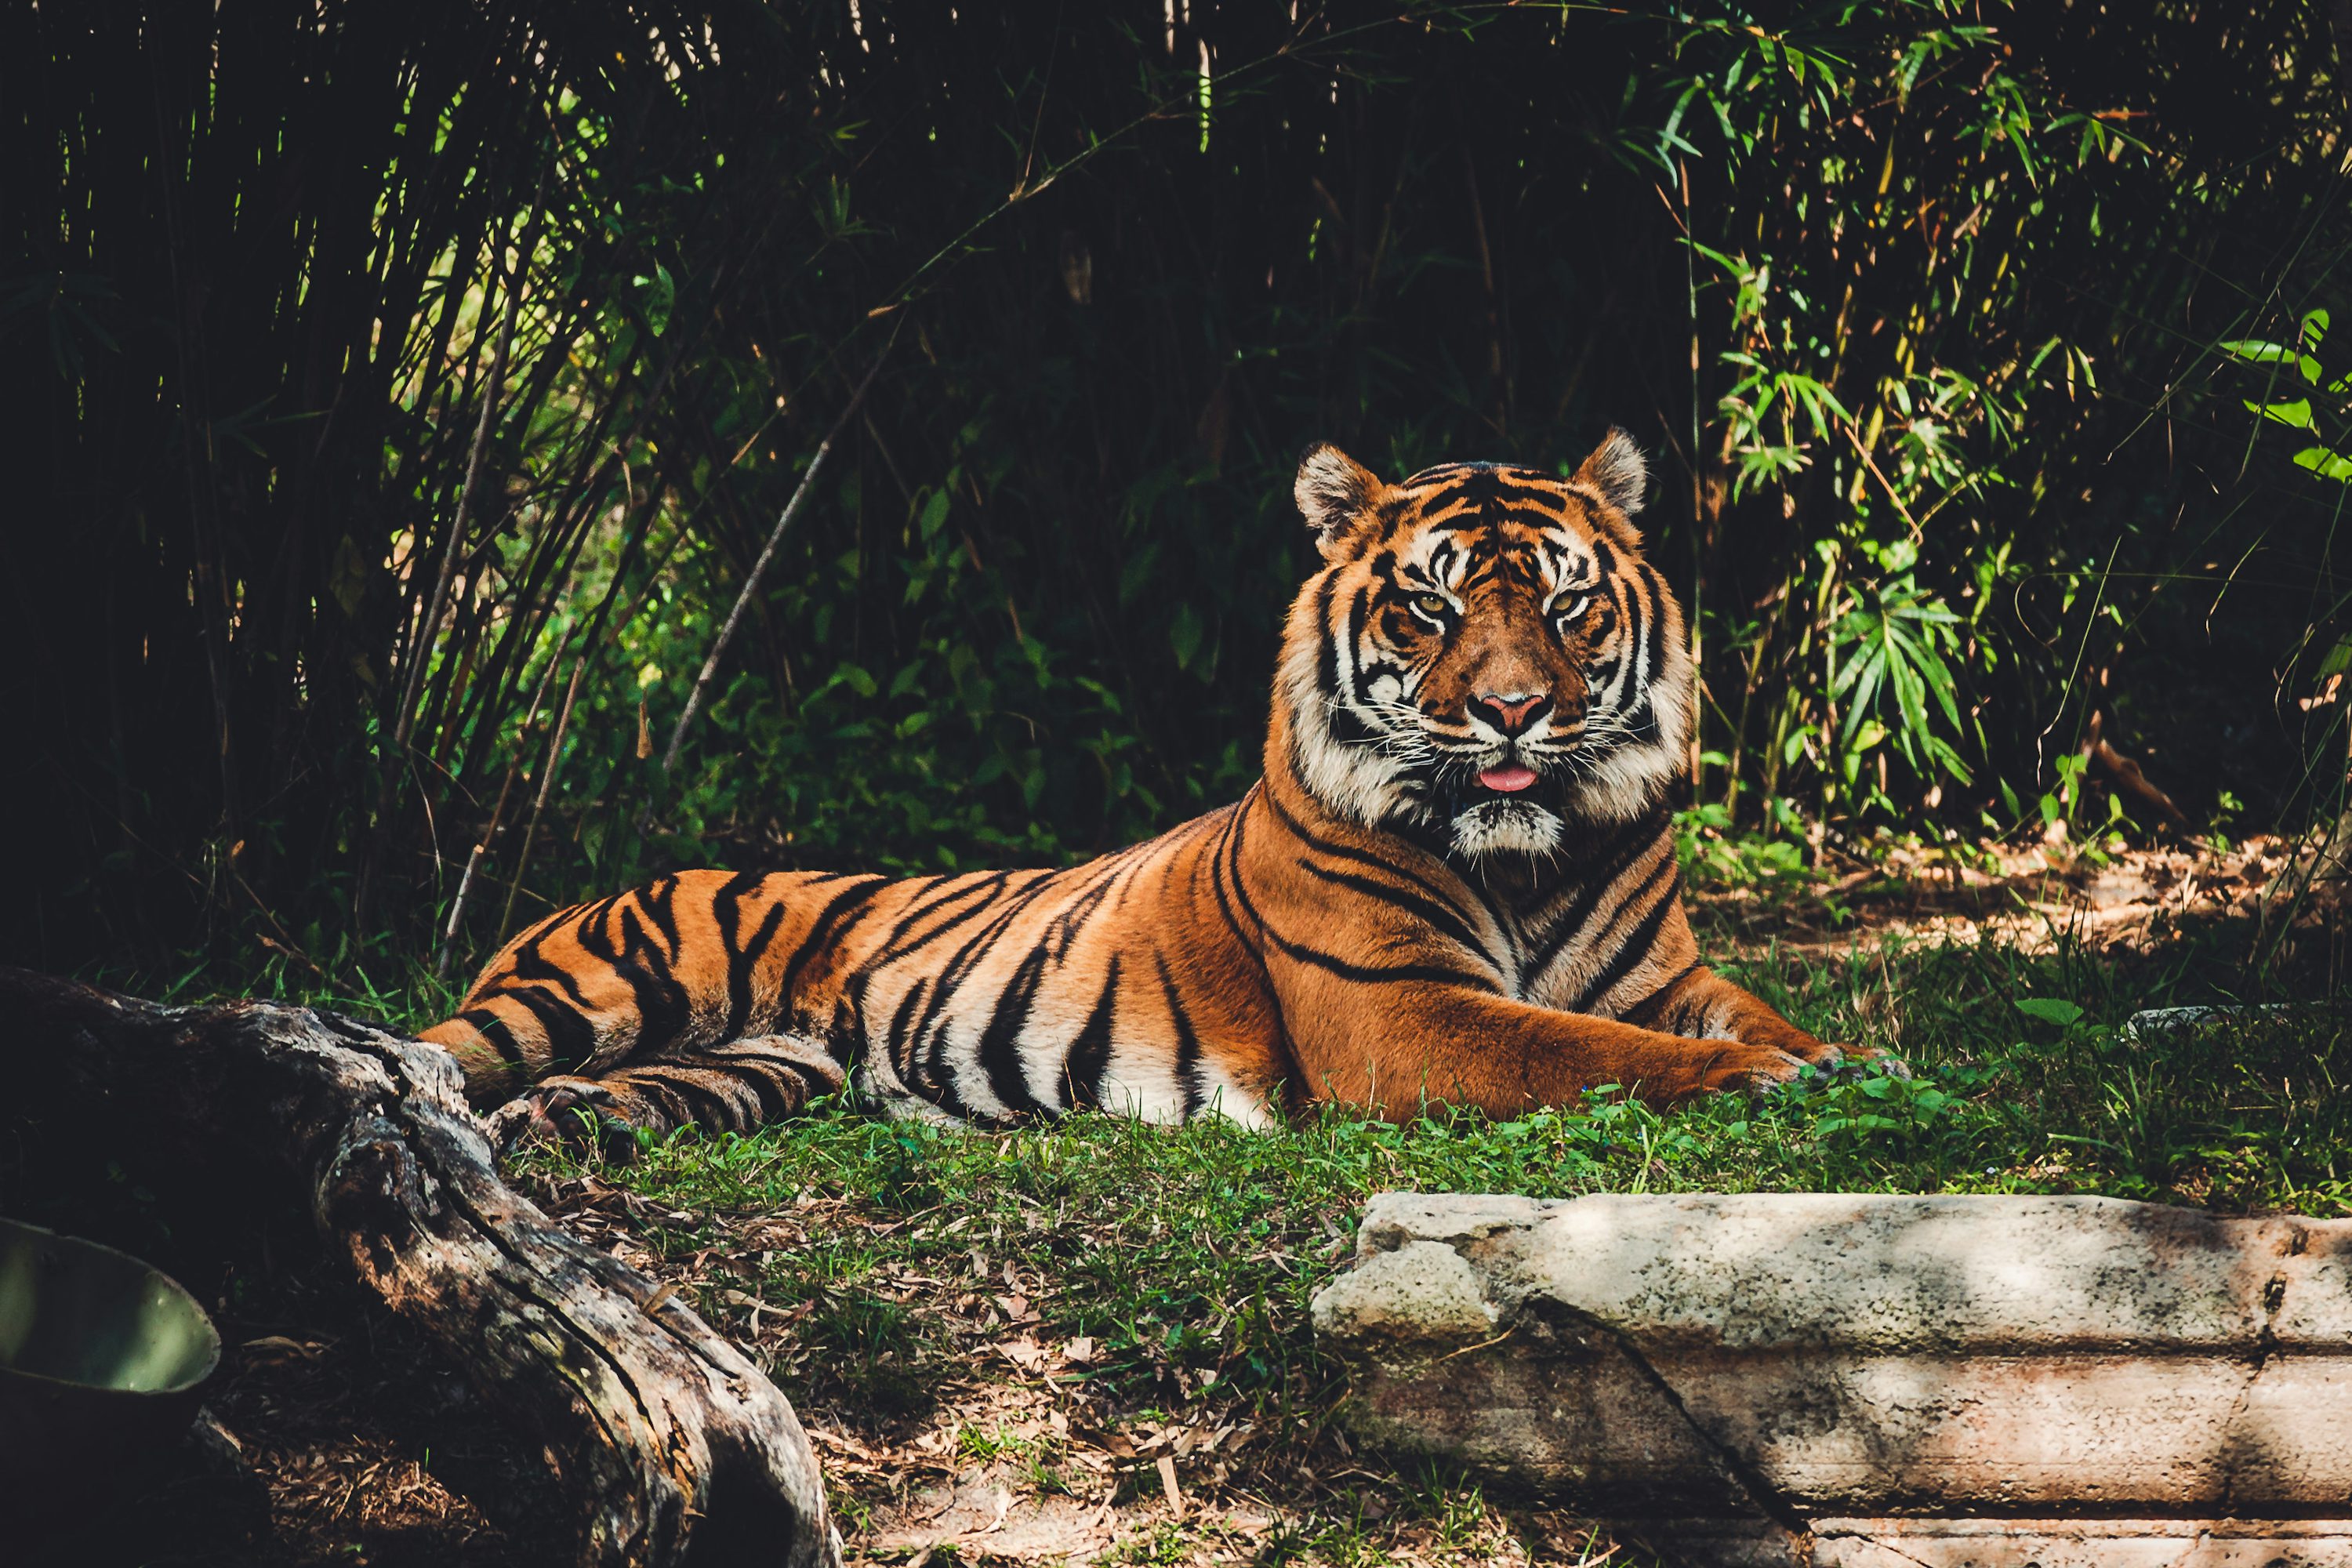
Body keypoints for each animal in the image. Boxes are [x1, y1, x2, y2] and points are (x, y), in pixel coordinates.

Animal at [422, 431, 1855, 1151]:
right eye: (1431, 609)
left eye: (1565, 606)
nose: (1513, 709)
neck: (1529, 855)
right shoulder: (1401, 1016)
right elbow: (1594, 1052)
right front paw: (1768, 1083)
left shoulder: (1667, 976)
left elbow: (1738, 1016)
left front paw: (1838, 1059)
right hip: (588, 993)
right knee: (433, 1050)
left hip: (764, 1062)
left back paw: (571, 1125)